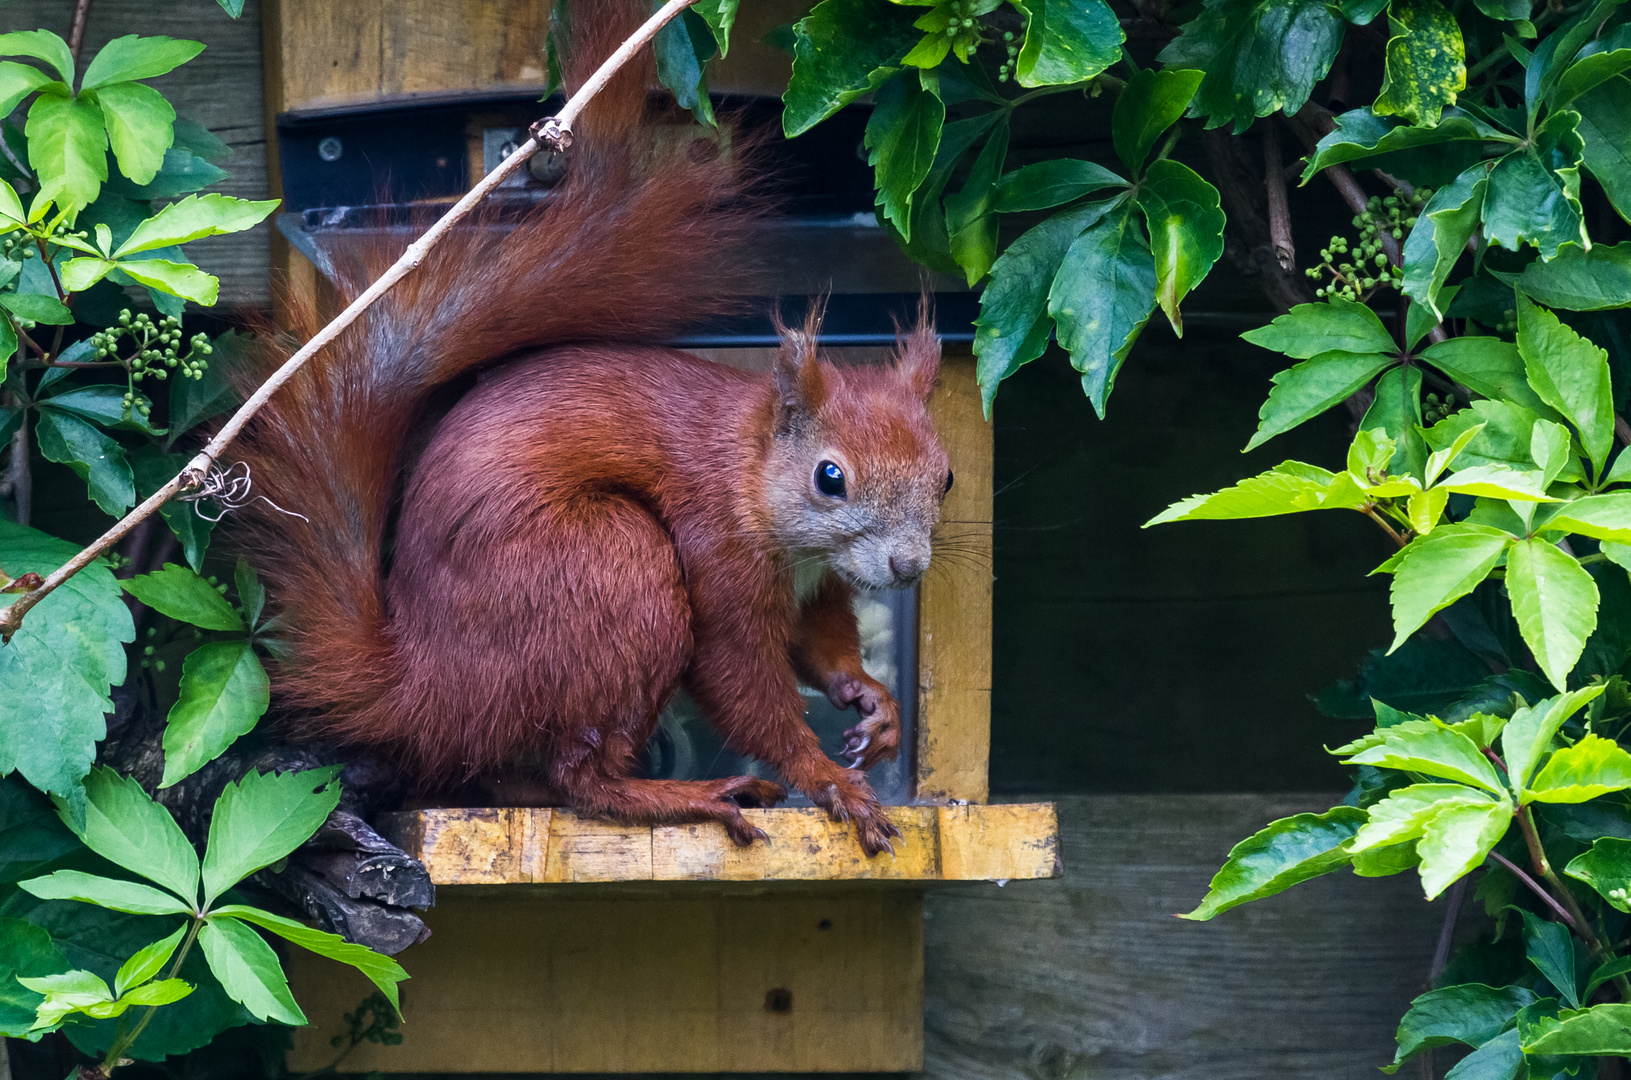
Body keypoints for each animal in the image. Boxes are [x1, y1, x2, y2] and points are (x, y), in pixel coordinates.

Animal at [228, 4, 945, 861]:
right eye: (829, 477)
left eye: (946, 476)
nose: (907, 567)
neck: (750, 472)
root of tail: (422, 683)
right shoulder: (718, 554)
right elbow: (742, 684)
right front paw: (830, 780)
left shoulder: (816, 588)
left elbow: (824, 644)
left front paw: (871, 703)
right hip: (613, 571)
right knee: (585, 779)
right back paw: (688, 793)